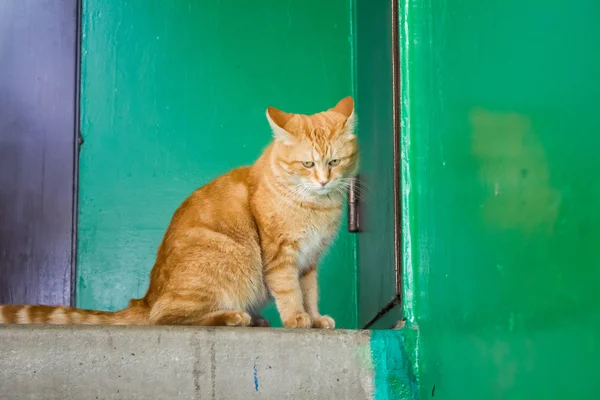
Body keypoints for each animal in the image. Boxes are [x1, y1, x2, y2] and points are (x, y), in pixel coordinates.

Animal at [0, 97, 356, 328]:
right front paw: (298, 319)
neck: (316, 204)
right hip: (232, 256)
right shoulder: (282, 256)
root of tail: (144, 299)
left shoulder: (309, 262)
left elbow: (309, 293)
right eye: (307, 163)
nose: (324, 180)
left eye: (334, 162)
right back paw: (234, 316)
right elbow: (289, 291)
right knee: (166, 316)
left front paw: (314, 317)